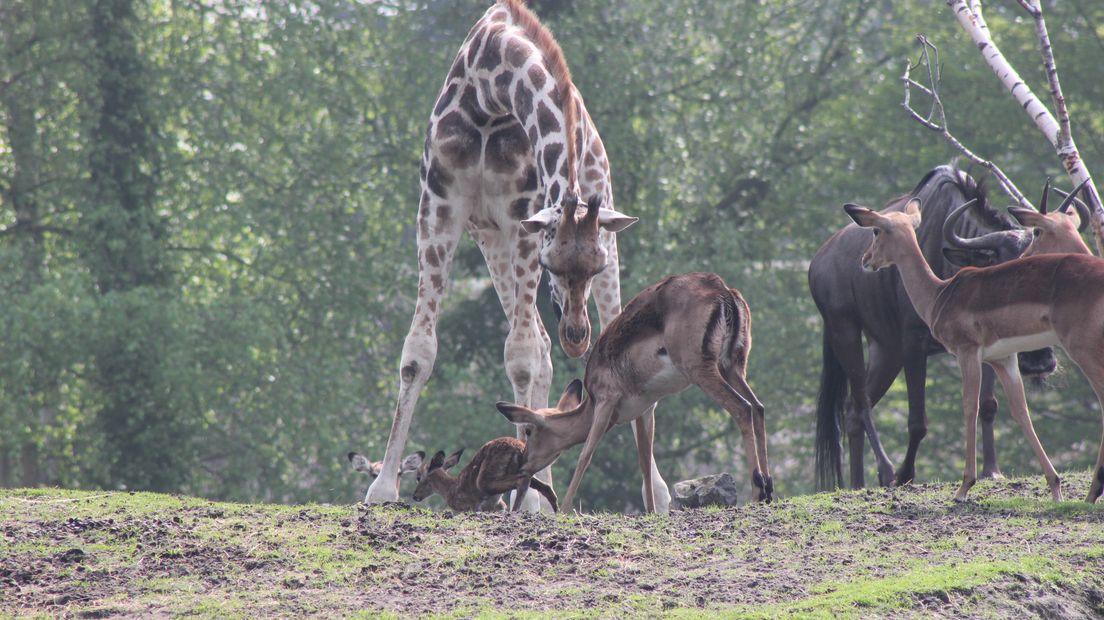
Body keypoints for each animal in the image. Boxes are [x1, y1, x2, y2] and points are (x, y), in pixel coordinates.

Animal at [410, 434, 560, 511]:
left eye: (418, 477)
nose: (415, 496)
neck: (449, 490)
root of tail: (519, 448)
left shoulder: (472, 506)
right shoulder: (497, 506)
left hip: (485, 479)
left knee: (522, 481)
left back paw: (515, 512)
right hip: (520, 469)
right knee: (545, 487)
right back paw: (557, 513)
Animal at [496, 271, 772, 511]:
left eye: (529, 430)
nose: (522, 465)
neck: (591, 400)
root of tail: (722, 290)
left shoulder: (605, 403)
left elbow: (585, 455)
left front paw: (563, 510)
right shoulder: (645, 409)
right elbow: (644, 460)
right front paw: (652, 511)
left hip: (703, 372)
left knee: (743, 408)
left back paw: (757, 492)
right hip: (732, 367)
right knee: (758, 407)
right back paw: (768, 490)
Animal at [847, 198, 1104, 503]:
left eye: (876, 230)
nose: (865, 260)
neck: (939, 294)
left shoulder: (967, 352)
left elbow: (971, 406)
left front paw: (963, 487)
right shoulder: (1004, 360)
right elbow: (1021, 412)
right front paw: (1055, 487)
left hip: (1084, 350)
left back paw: (1092, 494)